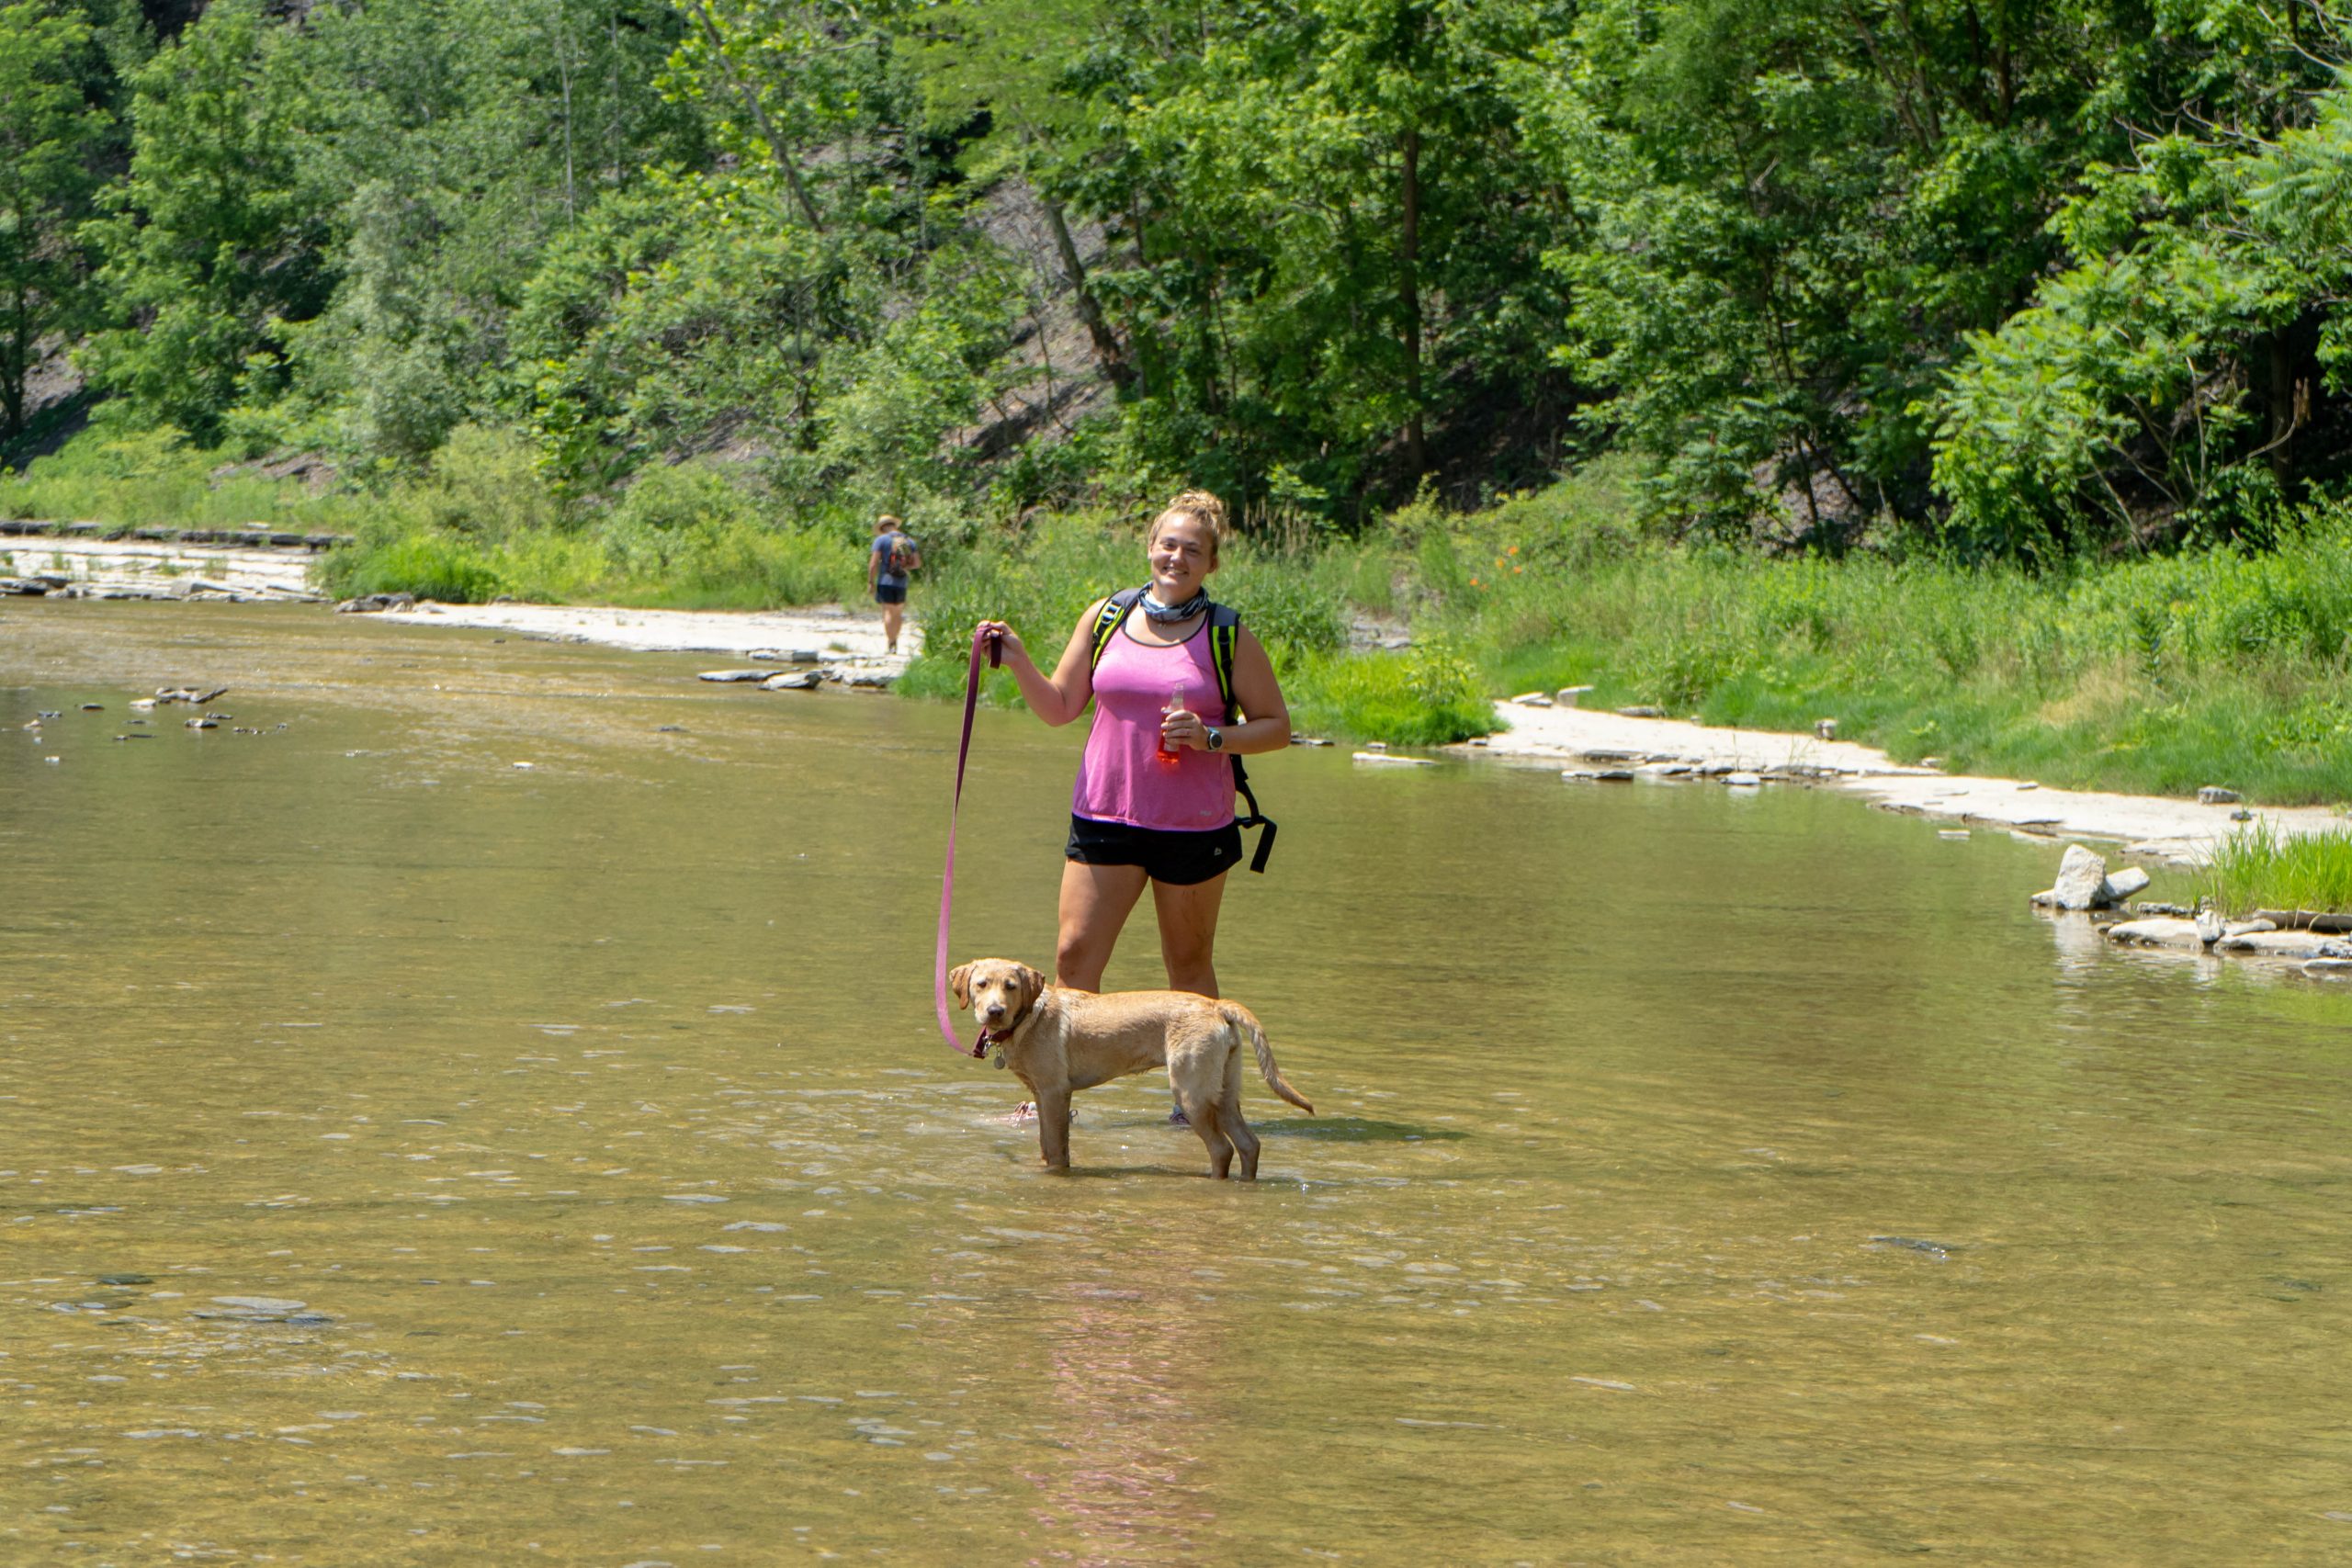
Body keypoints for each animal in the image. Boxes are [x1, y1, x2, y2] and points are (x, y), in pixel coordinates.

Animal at [945, 959, 1317, 1175]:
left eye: (1011, 986)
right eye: (981, 984)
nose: (994, 1011)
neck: (1028, 1019)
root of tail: (1216, 1005)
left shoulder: (1054, 1093)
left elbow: (1058, 1150)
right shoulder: (1040, 1094)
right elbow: (1045, 1148)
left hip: (1190, 1092)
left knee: (1222, 1149)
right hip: (1224, 1090)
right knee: (1249, 1144)